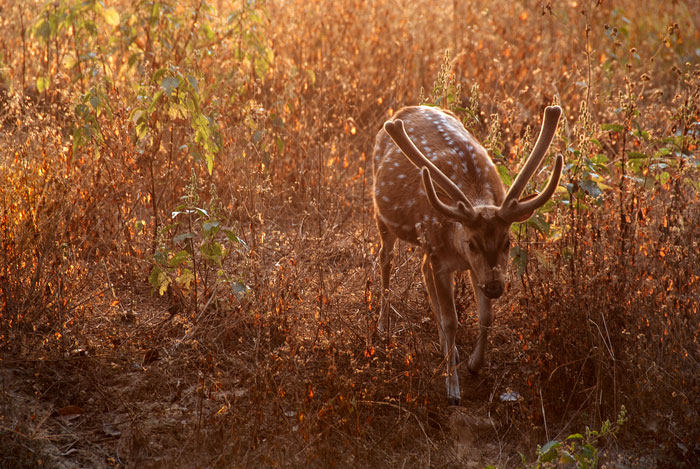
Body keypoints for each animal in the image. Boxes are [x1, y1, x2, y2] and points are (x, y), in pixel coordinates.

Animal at [372, 105, 564, 402]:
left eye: (508, 241)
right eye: (472, 242)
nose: (496, 287)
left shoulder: (475, 268)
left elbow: (486, 317)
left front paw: (474, 363)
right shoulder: (442, 259)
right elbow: (452, 321)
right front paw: (452, 389)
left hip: (425, 246)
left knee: (421, 269)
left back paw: (446, 348)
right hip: (382, 216)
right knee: (385, 259)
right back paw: (383, 327)